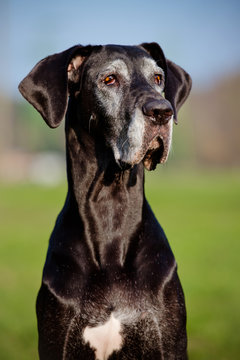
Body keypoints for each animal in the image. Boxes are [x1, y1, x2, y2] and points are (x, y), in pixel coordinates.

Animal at [18, 43, 191, 360]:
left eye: (158, 78)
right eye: (109, 79)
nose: (162, 112)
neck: (111, 207)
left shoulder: (168, 341)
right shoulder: (57, 341)